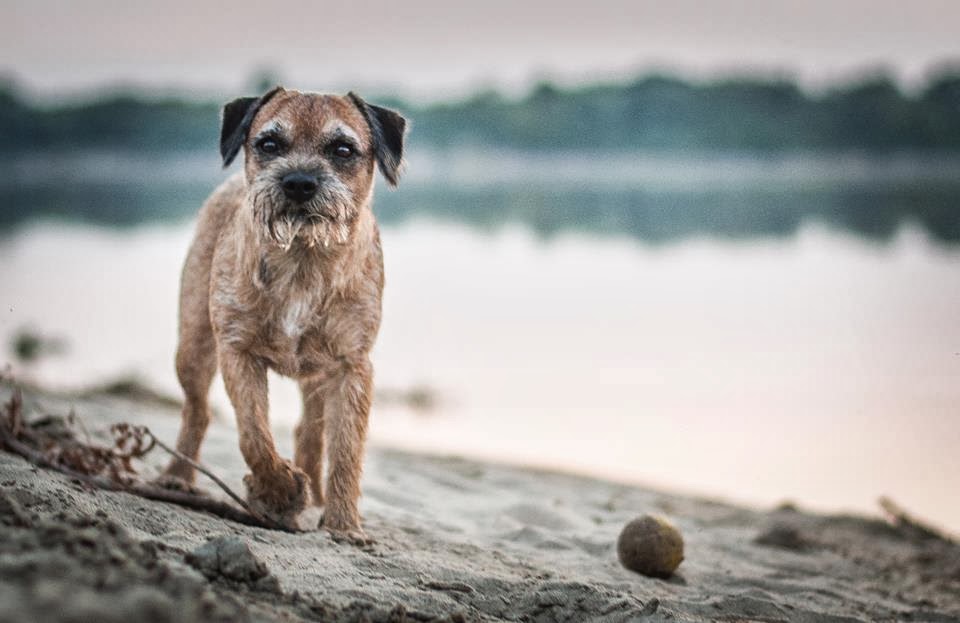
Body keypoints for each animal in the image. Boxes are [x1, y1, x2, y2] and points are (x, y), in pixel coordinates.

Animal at [163, 85, 404, 544]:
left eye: (343, 149)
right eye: (269, 144)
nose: (299, 182)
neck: (302, 257)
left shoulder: (352, 368)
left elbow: (346, 450)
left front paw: (345, 525)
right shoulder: (237, 352)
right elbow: (253, 433)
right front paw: (280, 489)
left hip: (319, 377)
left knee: (310, 431)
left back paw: (319, 500)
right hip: (194, 345)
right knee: (197, 410)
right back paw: (177, 476)